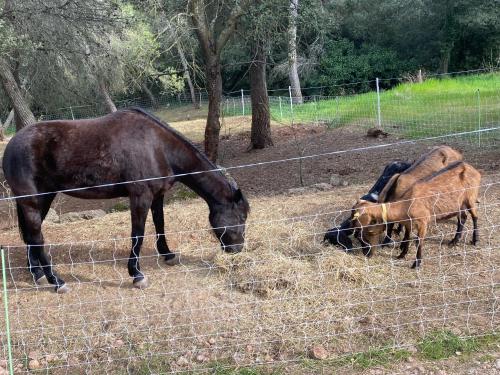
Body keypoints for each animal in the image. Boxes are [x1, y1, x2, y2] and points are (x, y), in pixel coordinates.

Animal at [1, 107, 248, 292]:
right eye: (240, 217)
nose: (237, 250)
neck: (156, 146)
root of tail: (11, 145)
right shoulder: (140, 197)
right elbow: (137, 233)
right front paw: (136, 274)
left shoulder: (157, 196)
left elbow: (160, 224)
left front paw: (167, 254)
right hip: (32, 201)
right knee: (36, 236)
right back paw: (56, 281)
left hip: (43, 199)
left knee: (31, 236)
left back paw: (37, 273)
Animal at [352, 162, 480, 268]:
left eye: (369, 232)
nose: (367, 254)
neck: (407, 203)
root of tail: (472, 169)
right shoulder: (408, 223)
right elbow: (407, 238)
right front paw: (402, 255)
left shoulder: (423, 222)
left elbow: (419, 242)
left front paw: (416, 263)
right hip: (460, 204)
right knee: (463, 218)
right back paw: (454, 241)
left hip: (470, 198)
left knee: (474, 216)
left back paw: (475, 240)